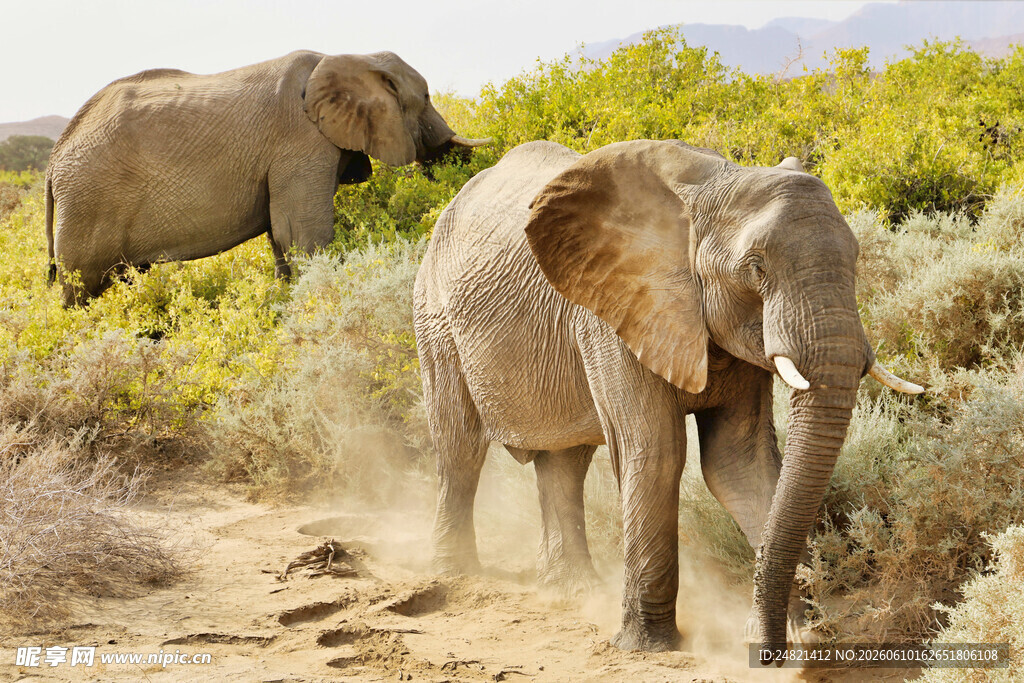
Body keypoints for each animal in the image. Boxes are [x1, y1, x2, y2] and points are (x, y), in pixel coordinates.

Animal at [45, 50, 487, 305]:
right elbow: (304, 234)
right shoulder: (300, 142)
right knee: (80, 288)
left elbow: (282, 233)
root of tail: (52, 161)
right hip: (88, 202)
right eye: (425, 98)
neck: (349, 56)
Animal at [412, 140, 923, 663]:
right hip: (434, 317)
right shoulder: (612, 314)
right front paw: (649, 646)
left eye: (856, 259)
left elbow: (740, 463)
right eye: (756, 268)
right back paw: (457, 575)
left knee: (565, 462)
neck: (712, 187)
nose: (766, 651)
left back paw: (571, 592)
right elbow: (656, 452)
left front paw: (797, 642)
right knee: (460, 447)